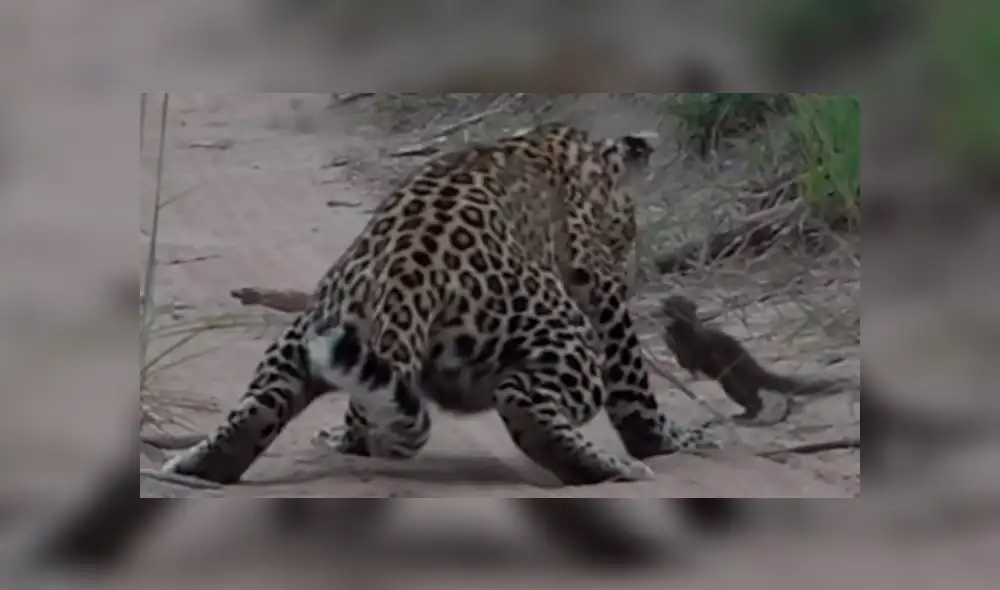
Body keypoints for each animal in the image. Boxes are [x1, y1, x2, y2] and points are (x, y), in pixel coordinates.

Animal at [160, 122, 714, 487]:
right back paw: (612, 469)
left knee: (258, 408)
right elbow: (635, 389)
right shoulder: (601, 292)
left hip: (306, 333)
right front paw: (672, 441)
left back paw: (198, 466)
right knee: (524, 403)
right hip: (561, 333)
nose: (630, 247)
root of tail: (405, 284)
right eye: (627, 231)